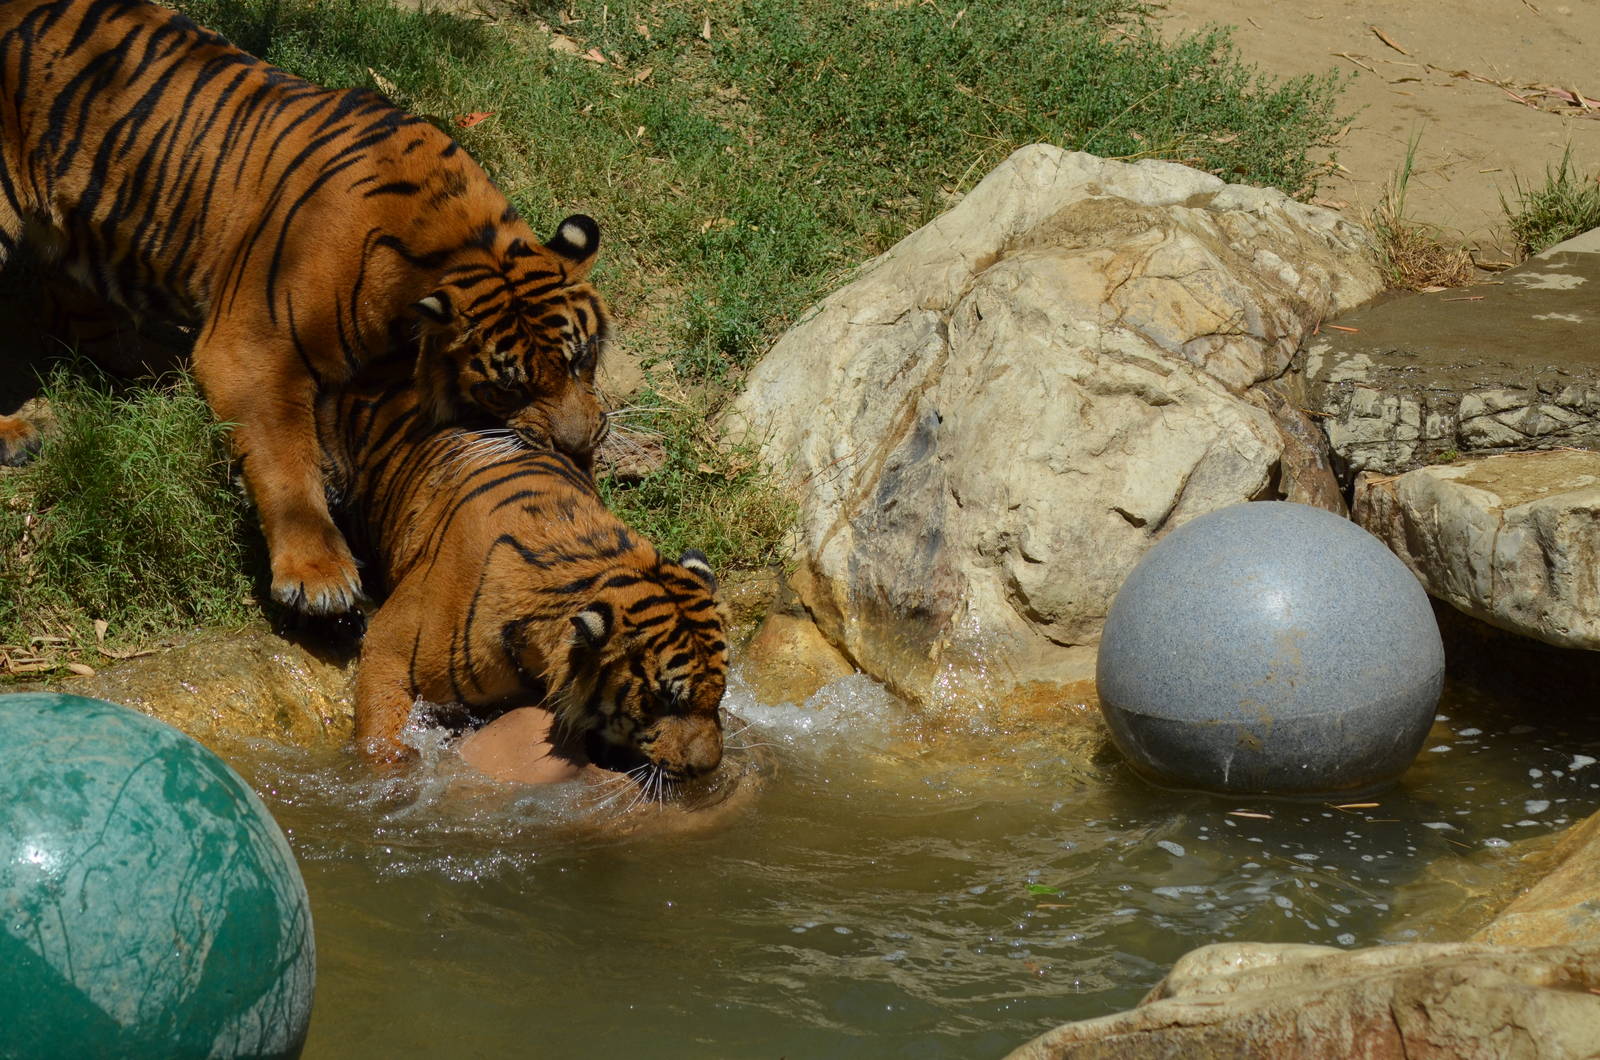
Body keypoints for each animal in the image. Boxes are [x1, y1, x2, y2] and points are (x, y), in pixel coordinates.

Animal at [0, 0, 610, 615]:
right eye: (508, 389)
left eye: (581, 360)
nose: (579, 446)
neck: (456, 243)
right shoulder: (252, 348)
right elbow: (285, 458)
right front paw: (319, 575)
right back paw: (18, 434)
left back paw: (161, 368)